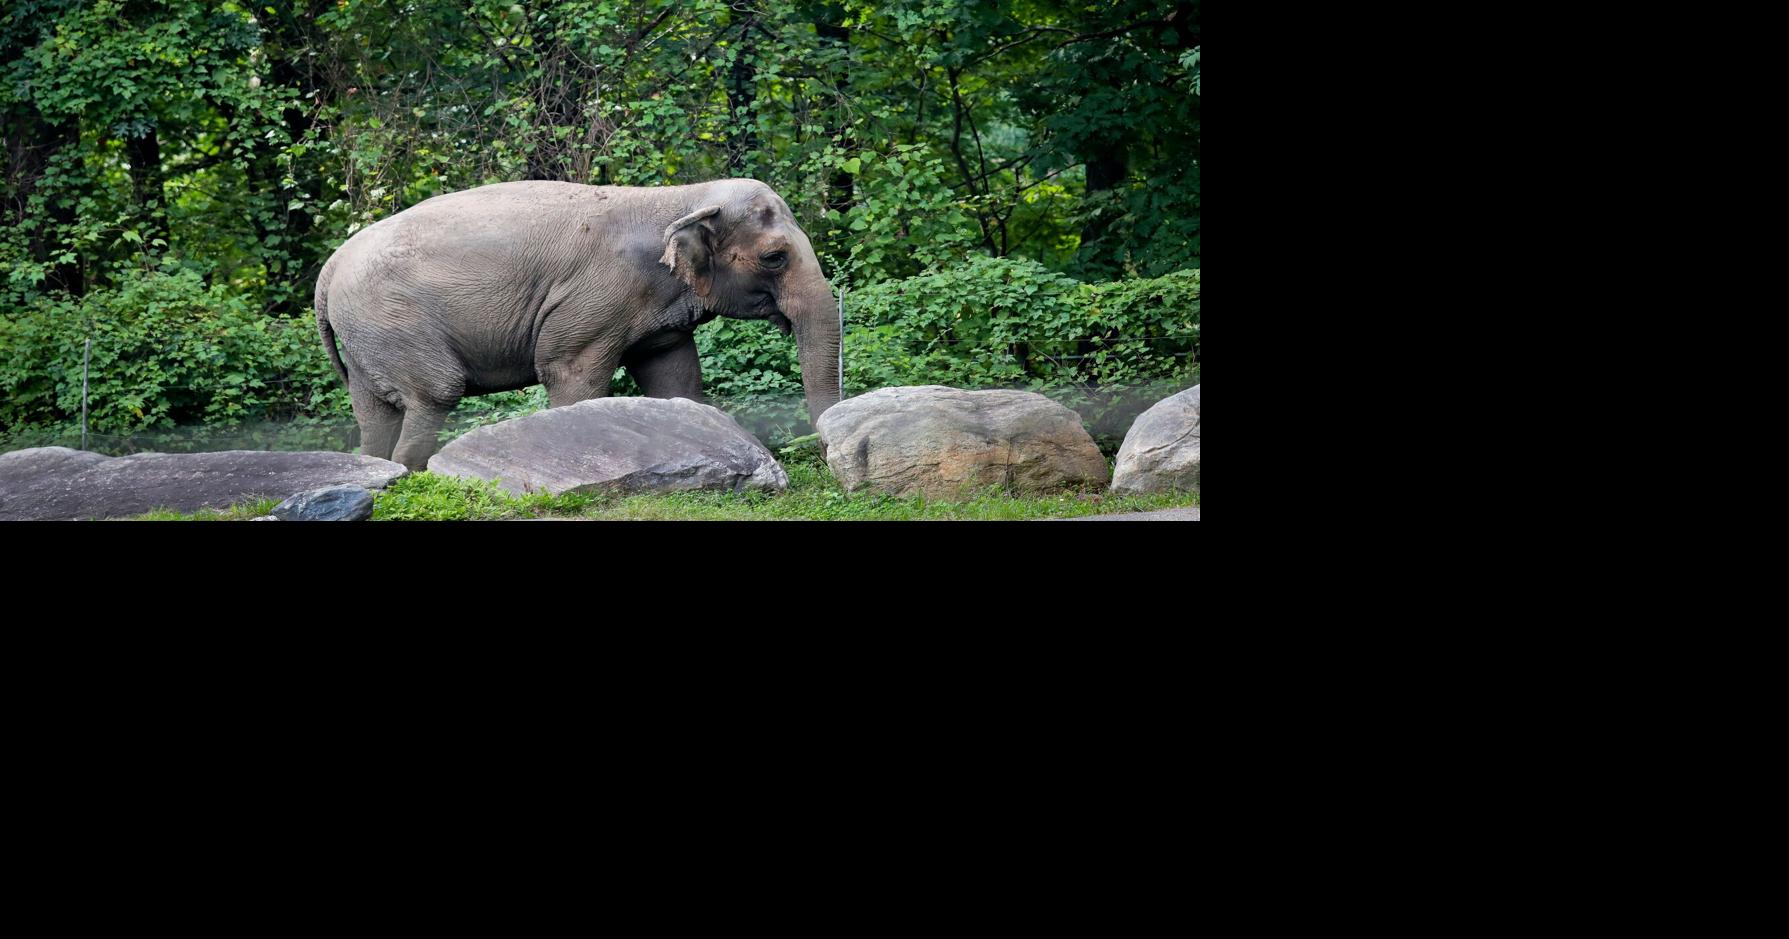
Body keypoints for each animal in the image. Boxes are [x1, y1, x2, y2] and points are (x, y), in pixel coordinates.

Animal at [313, 178, 841, 471]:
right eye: (774, 258)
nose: (819, 452)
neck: (681, 197)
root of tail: (329, 268)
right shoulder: (594, 298)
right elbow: (570, 372)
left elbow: (674, 376)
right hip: (393, 322)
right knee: (435, 393)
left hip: (366, 337)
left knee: (374, 412)